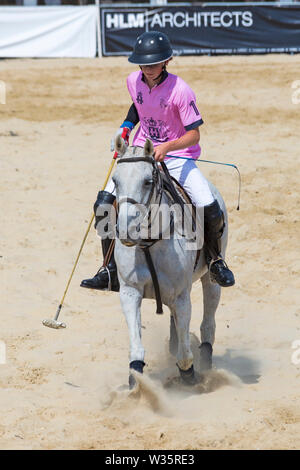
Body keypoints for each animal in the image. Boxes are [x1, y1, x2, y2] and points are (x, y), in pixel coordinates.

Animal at [112, 135, 227, 386]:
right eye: (115, 180)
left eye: (147, 181)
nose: (126, 230)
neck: (148, 242)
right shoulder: (129, 292)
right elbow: (136, 348)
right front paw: (136, 385)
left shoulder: (181, 297)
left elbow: (185, 355)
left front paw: (189, 377)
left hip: (210, 278)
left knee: (208, 323)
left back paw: (206, 363)